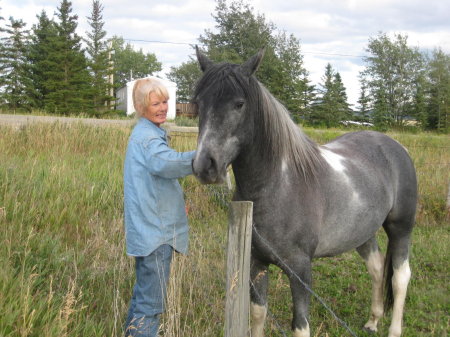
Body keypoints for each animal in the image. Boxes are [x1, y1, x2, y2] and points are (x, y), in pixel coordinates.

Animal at [192, 47, 416, 336]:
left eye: (239, 104)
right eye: (199, 103)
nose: (204, 165)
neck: (279, 186)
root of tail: (394, 146)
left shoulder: (300, 271)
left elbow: (300, 326)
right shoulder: (256, 262)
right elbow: (258, 313)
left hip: (400, 228)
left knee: (400, 277)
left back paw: (393, 328)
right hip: (363, 232)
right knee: (377, 268)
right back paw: (372, 321)